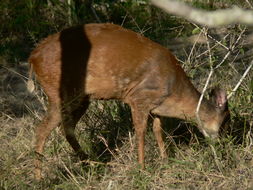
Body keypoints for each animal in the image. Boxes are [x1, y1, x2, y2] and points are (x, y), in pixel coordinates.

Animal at [28, 23, 229, 179]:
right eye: (225, 121)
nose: (224, 145)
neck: (172, 91)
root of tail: (33, 58)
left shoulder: (154, 107)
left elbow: (158, 130)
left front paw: (165, 160)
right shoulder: (138, 98)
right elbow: (140, 132)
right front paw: (142, 168)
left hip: (81, 98)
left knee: (66, 128)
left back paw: (91, 164)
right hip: (60, 93)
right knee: (42, 129)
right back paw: (39, 177)